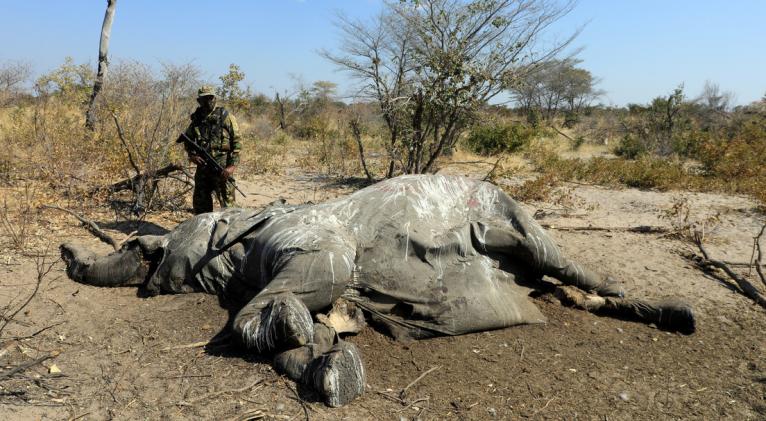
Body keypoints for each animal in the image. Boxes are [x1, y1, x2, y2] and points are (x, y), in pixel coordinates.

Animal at [60, 172, 696, 406]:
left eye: (143, 247)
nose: (68, 252)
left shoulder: (310, 238)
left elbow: (304, 288)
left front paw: (291, 330)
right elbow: (319, 327)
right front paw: (326, 364)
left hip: (509, 214)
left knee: (564, 263)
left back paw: (674, 314)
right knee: (562, 289)